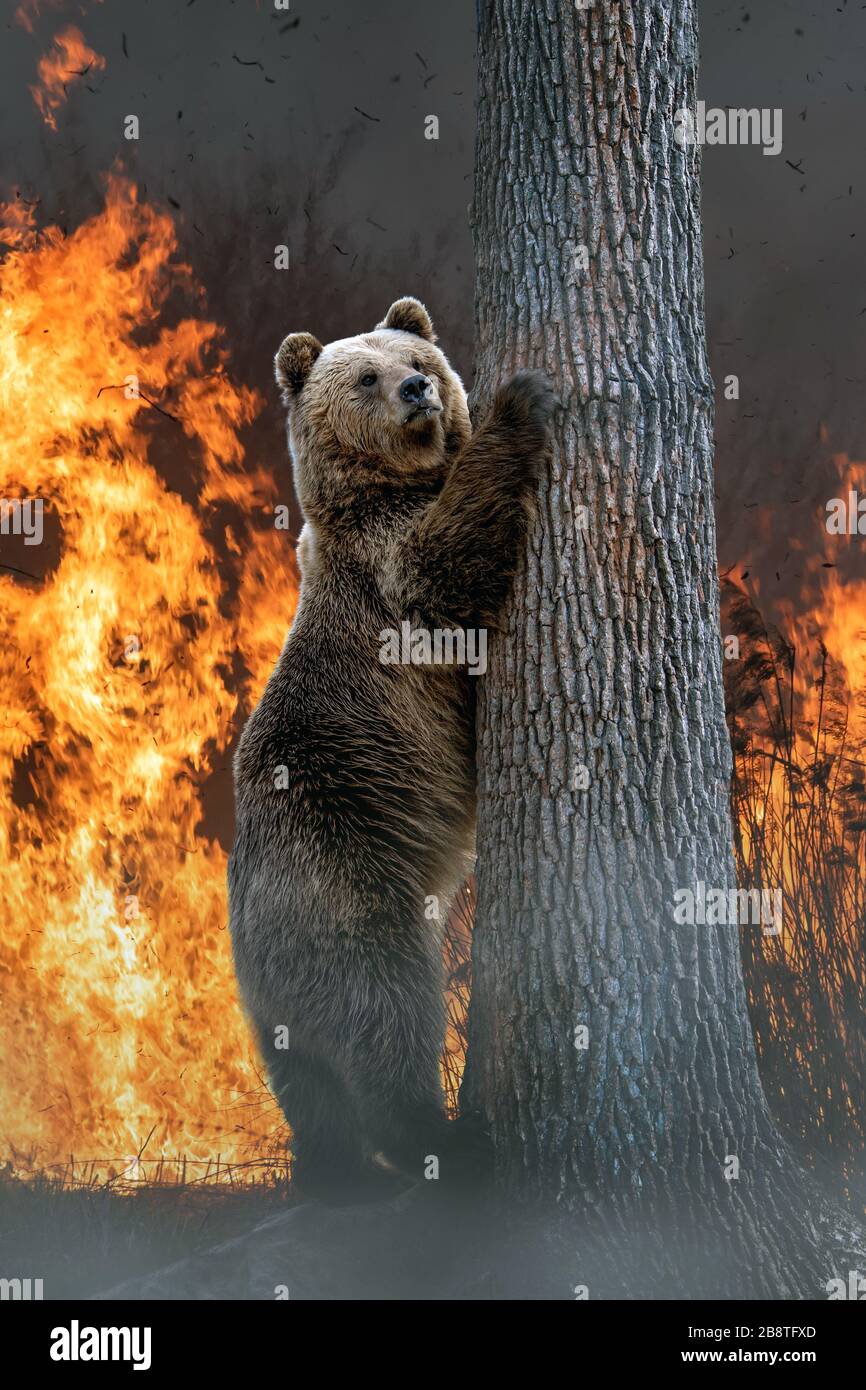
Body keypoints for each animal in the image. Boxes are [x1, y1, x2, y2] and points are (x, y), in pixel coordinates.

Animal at [230, 298, 556, 1200]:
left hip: (283, 1000)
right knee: (385, 1012)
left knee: (312, 1084)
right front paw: (522, 399)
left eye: (417, 357)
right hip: (345, 875)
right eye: (367, 376)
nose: (418, 390)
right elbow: (444, 562)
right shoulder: (389, 573)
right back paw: (442, 1139)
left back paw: (332, 1170)